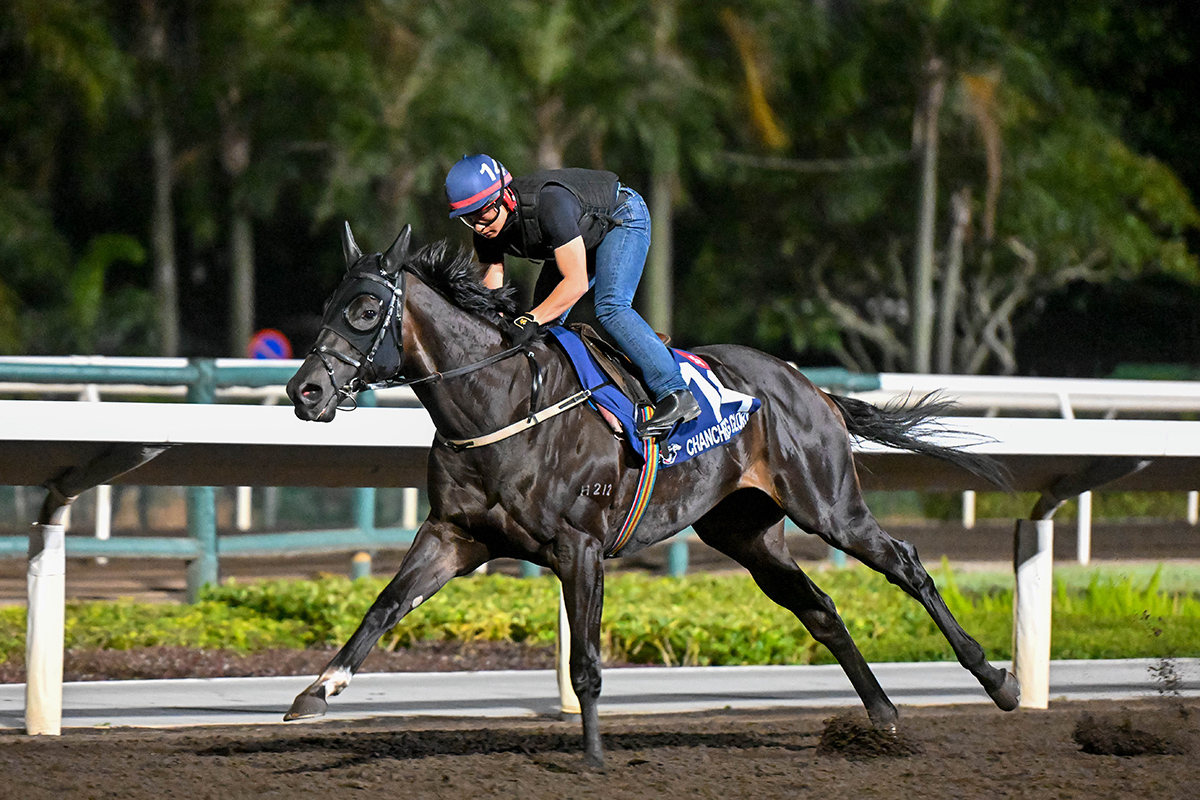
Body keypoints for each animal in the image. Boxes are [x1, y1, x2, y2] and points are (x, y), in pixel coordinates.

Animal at [283, 221, 1022, 767]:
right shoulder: (454, 535)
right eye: (323, 306)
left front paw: (593, 757)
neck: (501, 402)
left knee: (906, 565)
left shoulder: (579, 545)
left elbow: (584, 660)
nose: (304, 391)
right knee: (820, 608)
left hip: (829, 506)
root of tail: (812, 388)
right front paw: (317, 691)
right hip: (745, 533)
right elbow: (384, 606)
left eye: (366, 308)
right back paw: (881, 715)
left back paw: (997, 680)